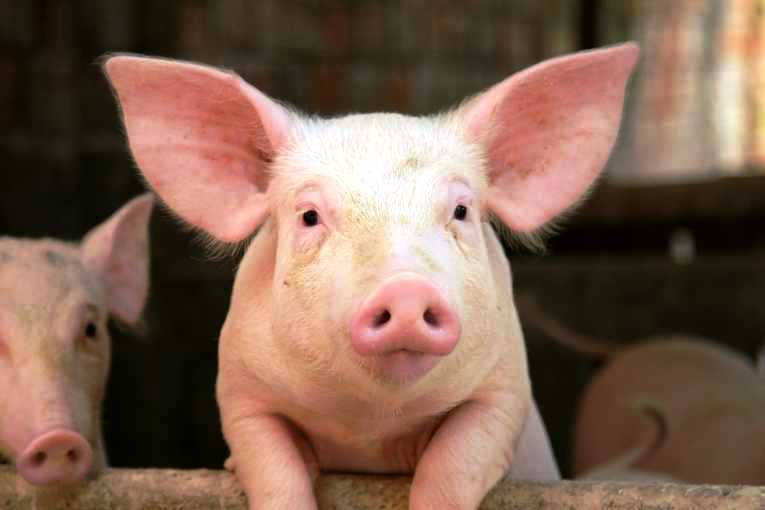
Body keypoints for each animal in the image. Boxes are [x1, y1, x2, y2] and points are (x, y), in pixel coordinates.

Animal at [103, 43, 638, 509]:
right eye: (310, 216)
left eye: (461, 210)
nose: (406, 290)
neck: (369, 426)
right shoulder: (241, 393)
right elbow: (273, 469)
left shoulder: (504, 390)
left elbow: (453, 464)